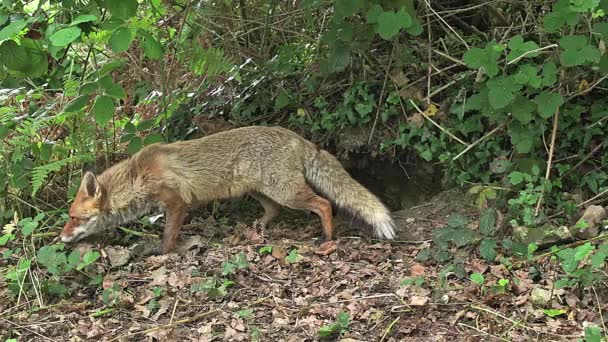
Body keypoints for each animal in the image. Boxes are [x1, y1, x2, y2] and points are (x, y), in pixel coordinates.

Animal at [59, 125, 396, 254]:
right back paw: (258, 228)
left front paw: (161, 254)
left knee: (325, 204)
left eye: (74, 218)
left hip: (287, 192)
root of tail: (296, 137)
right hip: (261, 192)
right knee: (273, 211)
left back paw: (327, 237)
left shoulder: (177, 203)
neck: (137, 176)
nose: (59, 238)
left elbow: (168, 236)